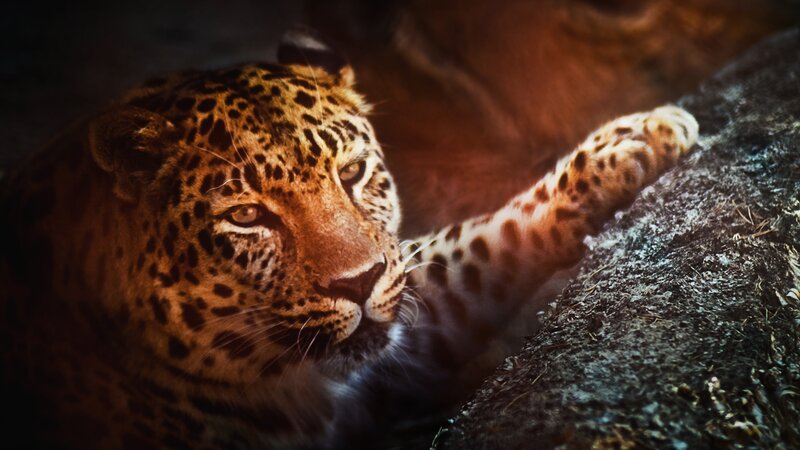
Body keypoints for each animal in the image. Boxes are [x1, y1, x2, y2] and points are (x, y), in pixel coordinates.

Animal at [0, 28, 698, 449]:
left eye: (353, 171)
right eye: (246, 217)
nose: (357, 284)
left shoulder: (401, 303)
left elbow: (476, 240)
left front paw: (632, 138)